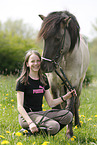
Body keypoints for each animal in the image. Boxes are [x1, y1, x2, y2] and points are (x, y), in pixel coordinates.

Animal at [37, 10, 89, 138]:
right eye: (44, 38)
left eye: (58, 38)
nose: (44, 66)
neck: (64, 59)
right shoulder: (54, 84)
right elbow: (57, 106)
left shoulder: (73, 84)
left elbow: (70, 106)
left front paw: (69, 133)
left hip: (79, 85)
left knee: (76, 103)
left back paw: (77, 123)